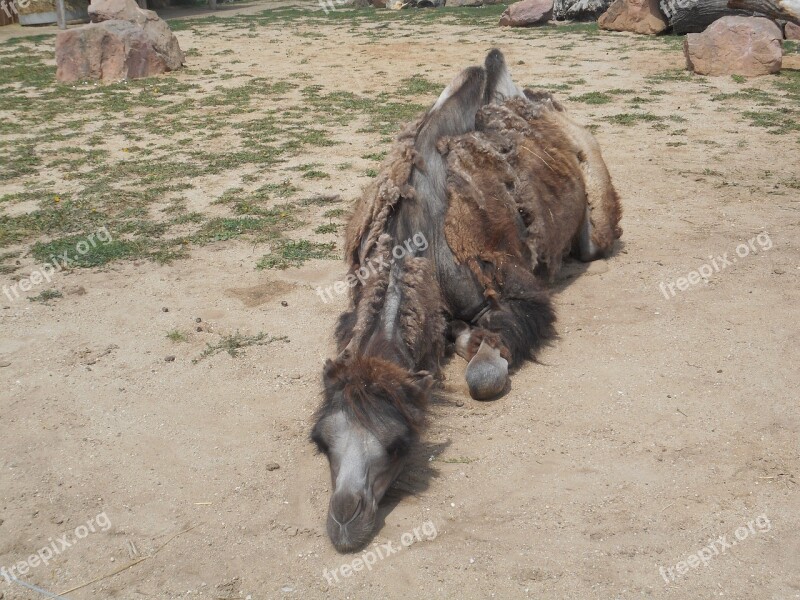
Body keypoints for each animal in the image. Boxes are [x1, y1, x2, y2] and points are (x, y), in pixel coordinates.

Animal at [310, 50, 620, 552]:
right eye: (321, 441)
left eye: (399, 443)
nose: (344, 520)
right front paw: (456, 335)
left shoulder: (516, 291)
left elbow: (484, 374)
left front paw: (472, 343)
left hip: (596, 197)